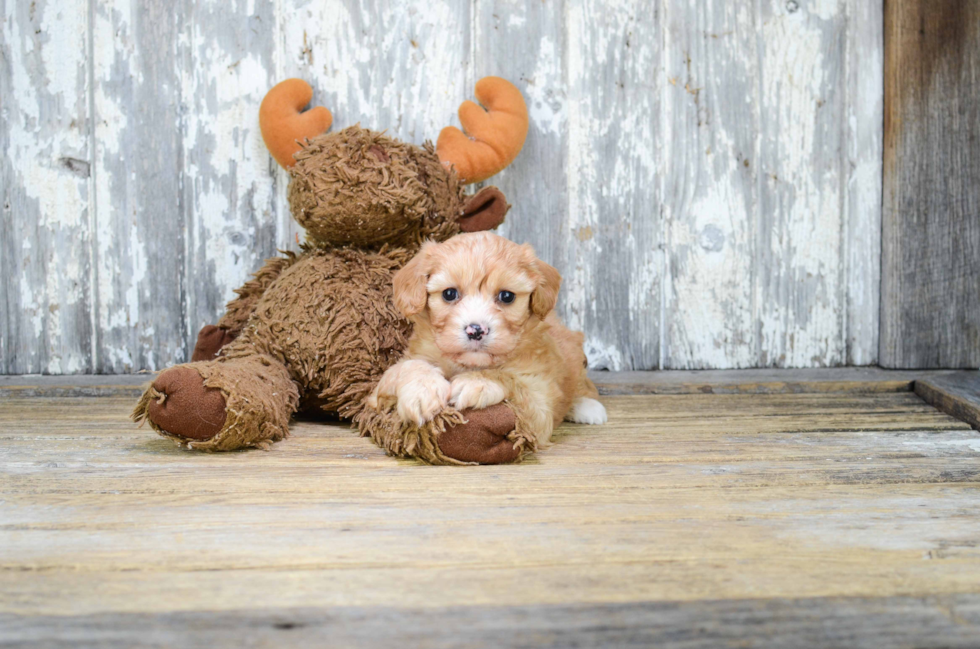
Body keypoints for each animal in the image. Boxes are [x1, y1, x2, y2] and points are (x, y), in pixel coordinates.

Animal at [370, 230, 604, 448]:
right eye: (449, 294)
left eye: (506, 296)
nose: (476, 330)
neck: (470, 364)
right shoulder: (376, 397)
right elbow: (404, 368)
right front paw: (423, 389)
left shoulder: (539, 406)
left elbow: (511, 379)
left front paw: (478, 382)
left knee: (582, 384)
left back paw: (588, 407)